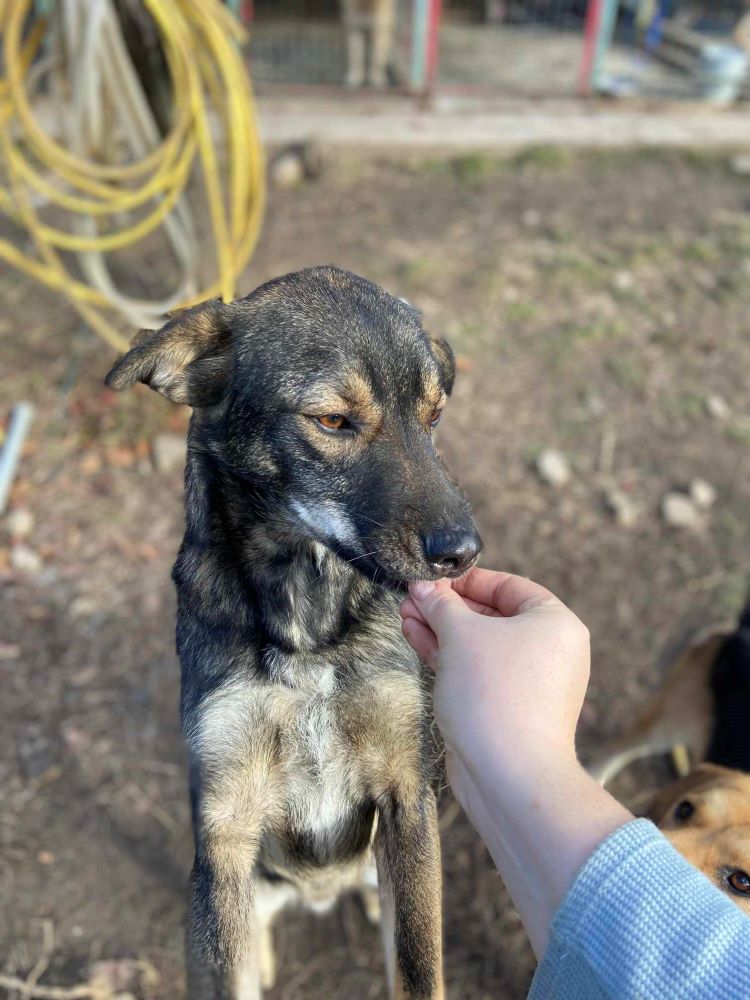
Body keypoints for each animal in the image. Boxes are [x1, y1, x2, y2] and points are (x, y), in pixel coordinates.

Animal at [104, 268, 482, 1000]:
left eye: (434, 416)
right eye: (333, 421)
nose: (464, 553)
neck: (309, 627)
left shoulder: (407, 793)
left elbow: (418, 965)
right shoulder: (224, 830)